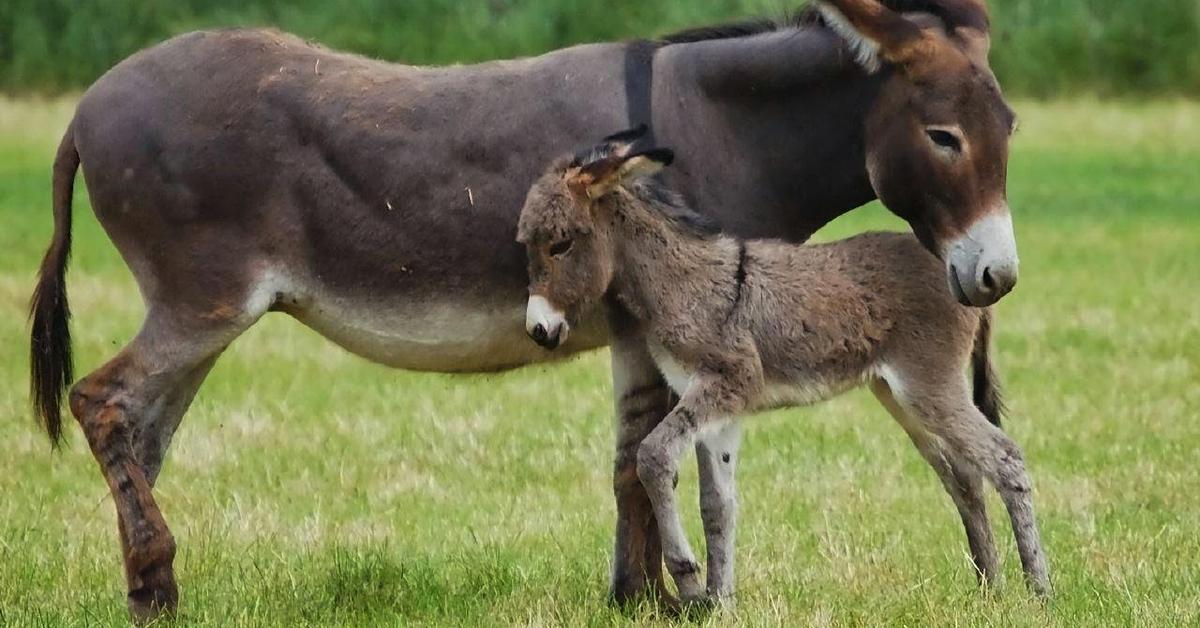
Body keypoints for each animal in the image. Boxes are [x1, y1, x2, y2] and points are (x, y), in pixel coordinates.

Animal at [516, 130, 1051, 607]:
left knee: (1004, 459)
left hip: (930, 387)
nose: (539, 330)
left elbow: (652, 457)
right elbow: (718, 505)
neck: (682, 283)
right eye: (529, 245)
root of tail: (960, 281)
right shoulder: (718, 407)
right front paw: (720, 601)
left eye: (561, 244)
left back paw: (1038, 591)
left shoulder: (725, 384)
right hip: (902, 396)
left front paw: (689, 580)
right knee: (965, 476)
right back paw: (990, 587)